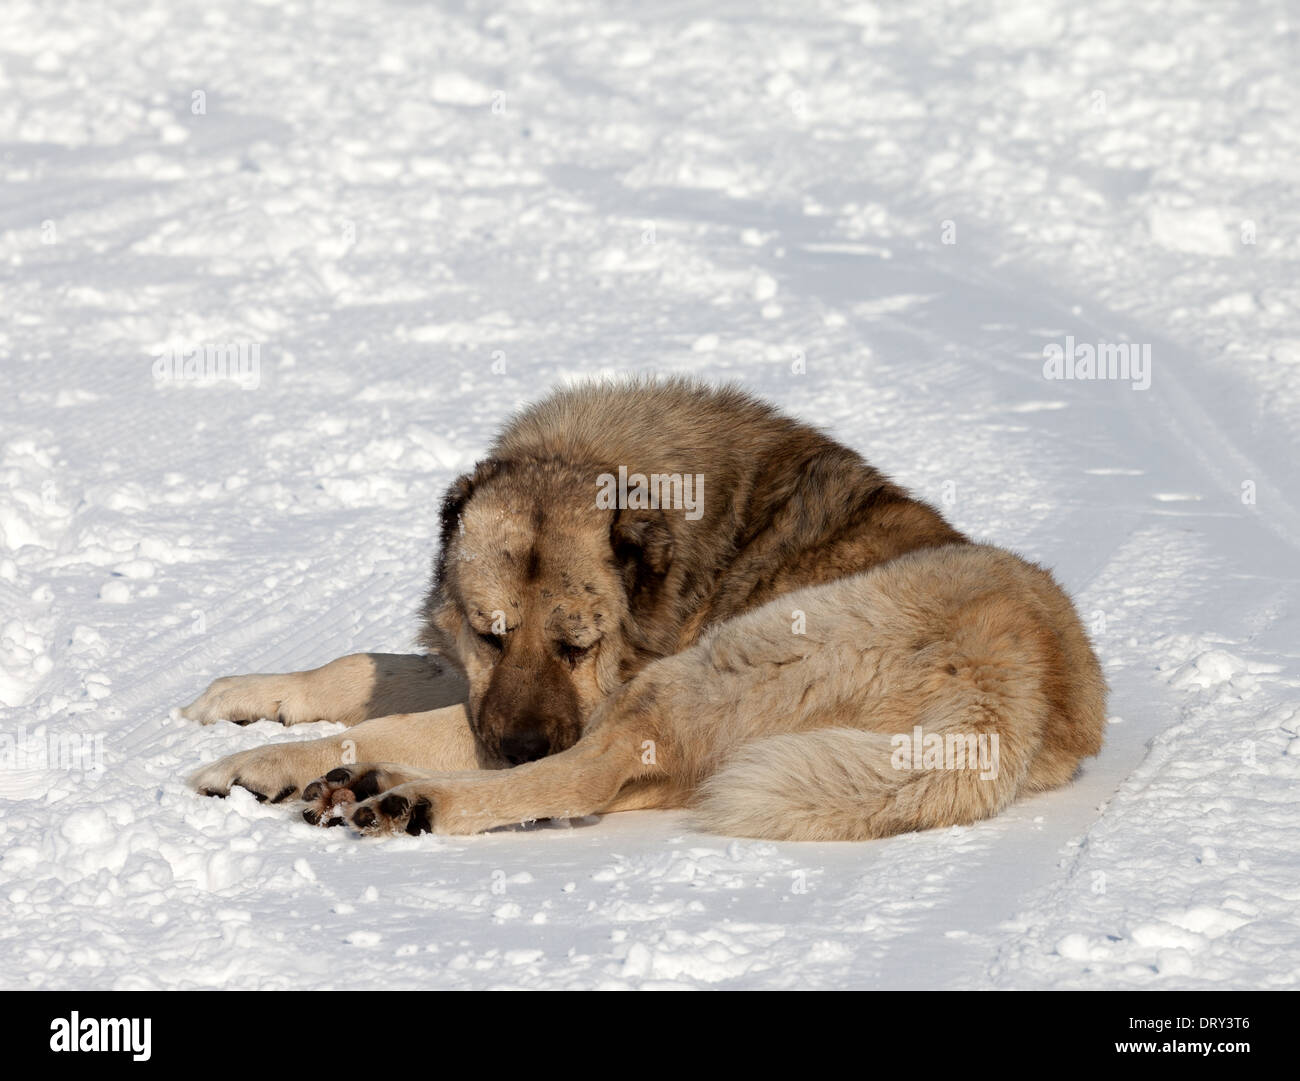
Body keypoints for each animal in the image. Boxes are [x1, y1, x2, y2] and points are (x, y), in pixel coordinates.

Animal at [183, 376, 1102, 841]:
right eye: (491, 634)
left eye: (579, 645)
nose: (519, 745)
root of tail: (1018, 695)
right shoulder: (476, 682)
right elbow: (368, 668)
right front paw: (244, 695)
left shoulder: (579, 697)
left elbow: (392, 720)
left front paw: (260, 761)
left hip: (729, 659)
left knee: (587, 770)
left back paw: (412, 798)